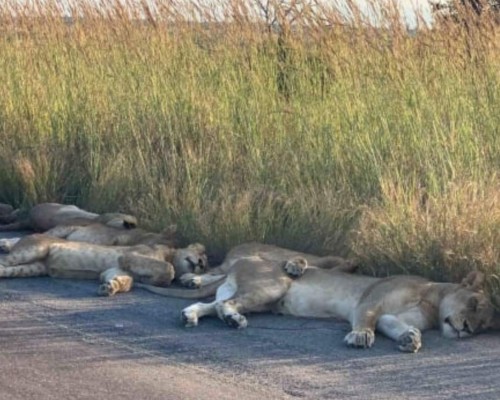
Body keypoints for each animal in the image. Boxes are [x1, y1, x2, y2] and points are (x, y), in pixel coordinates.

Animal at [0, 233, 207, 296]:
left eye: (205, 266)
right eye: (201, 256)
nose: (200, 264)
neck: (170, 254)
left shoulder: (114, 269)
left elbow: (126, 281)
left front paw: (110, 287)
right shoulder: (129, 255)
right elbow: (169, 270)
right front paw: (159, 279)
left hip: (31, 268)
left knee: (6, 269)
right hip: (33, 249)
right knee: (4, 261)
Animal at [136, 244, 500, 354]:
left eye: (484, 325)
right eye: (473, 304)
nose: (467, 329)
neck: (432, 301)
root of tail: (240, 263)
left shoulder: (391, 316)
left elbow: (399, 327)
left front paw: (411, 339)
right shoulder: (371, 300)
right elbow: (365, 320)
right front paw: (360, 336)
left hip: (256, 296)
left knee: (209, 303)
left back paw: (190, 315)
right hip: (273, 286)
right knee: (227, 305)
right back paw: (234, 320)